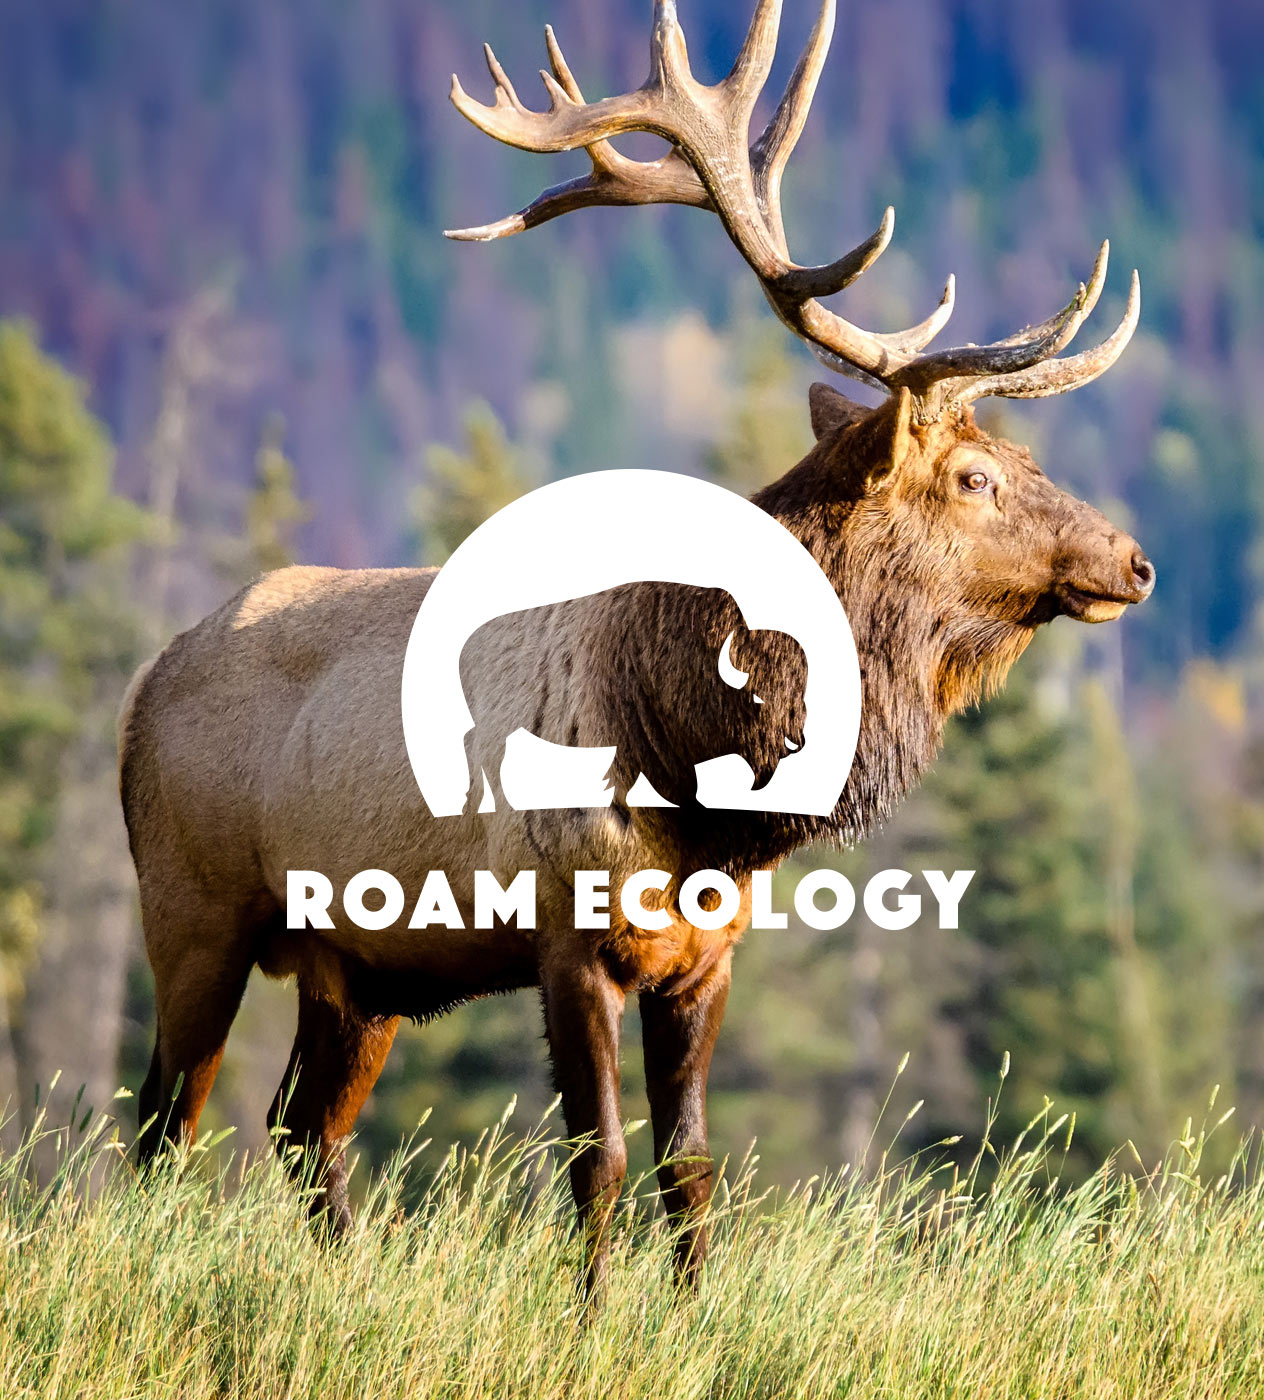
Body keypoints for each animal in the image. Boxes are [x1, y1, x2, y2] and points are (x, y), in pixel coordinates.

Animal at [120, 0, 1154, 1299]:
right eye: (974, 475)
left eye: (1022, 458)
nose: (1133, 561)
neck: (693, 768)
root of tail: (141, 687)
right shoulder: (569, 936)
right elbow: (598, 1158)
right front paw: (591, 1313)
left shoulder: (705, 954)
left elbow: (691, 1162)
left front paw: (693, 1306)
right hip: (191, 905)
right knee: (162, 1122)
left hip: (352, 961)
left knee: (303, 1127)